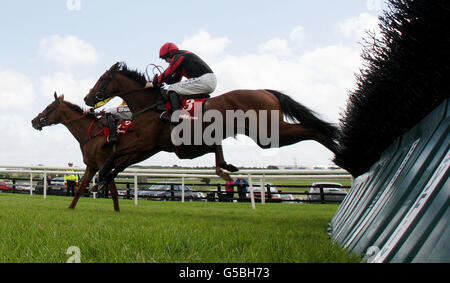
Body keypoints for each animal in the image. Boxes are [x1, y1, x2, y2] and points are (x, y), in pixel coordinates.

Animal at [82, 63, 340, 190]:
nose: (87, 98)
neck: (150, 105)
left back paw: (339, 152)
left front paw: (101, 175)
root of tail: (265, 91)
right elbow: (121, 161)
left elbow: (117, 154)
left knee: (314, 130)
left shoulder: (146, 142)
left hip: (267, 134)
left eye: (102, 79)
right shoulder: (157, 147)